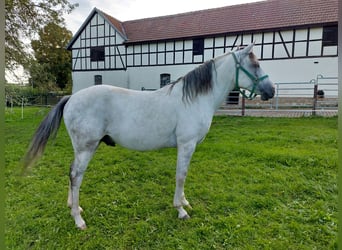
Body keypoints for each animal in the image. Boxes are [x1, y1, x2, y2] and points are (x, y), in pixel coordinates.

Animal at [23, 44, 276, 229]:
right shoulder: (186, 145)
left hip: (81, 149)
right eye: (255, 64)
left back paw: (73, 207)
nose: (272, 90)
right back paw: (78, 219)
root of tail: (71, 98)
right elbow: (181, 176)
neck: (193, 99)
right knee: (76, 176)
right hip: (87, 148)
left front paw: (184, 202)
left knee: (71, 173)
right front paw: (180, 210)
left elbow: (183, 176)